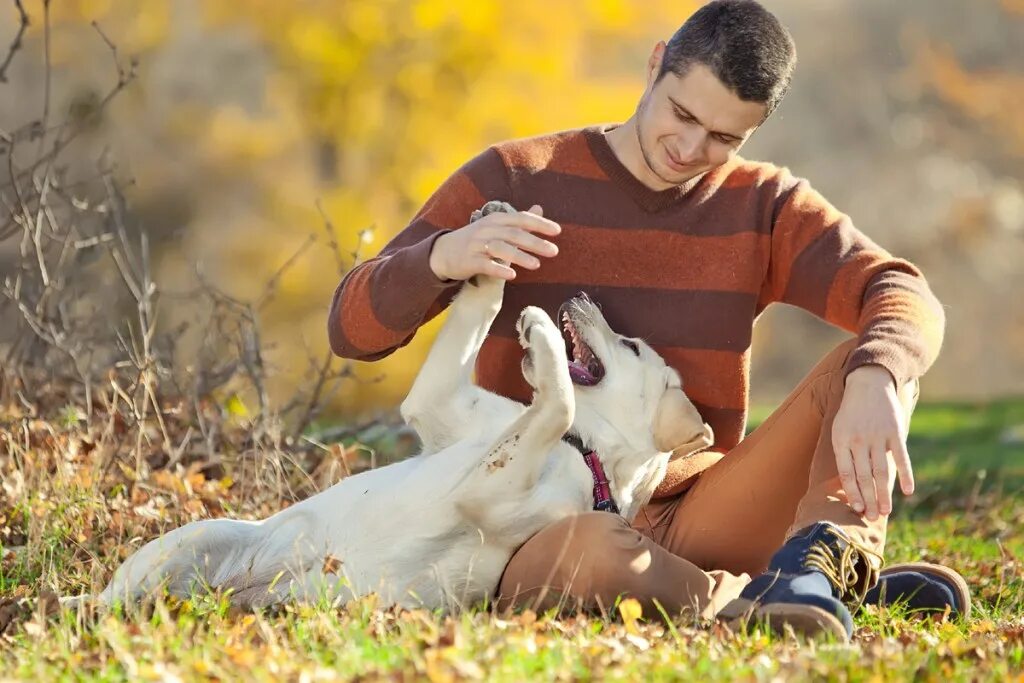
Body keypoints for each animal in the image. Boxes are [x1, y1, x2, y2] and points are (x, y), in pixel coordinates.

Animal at [66, 202, 712, 614]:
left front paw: (540, 337)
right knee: (114, 595)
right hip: (197, 536)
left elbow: (554, 403)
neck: (585, 449)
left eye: (632, 346)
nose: (581, 296)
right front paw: (491, 240)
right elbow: (487, 314)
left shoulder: (495, 492)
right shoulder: (442, 405)